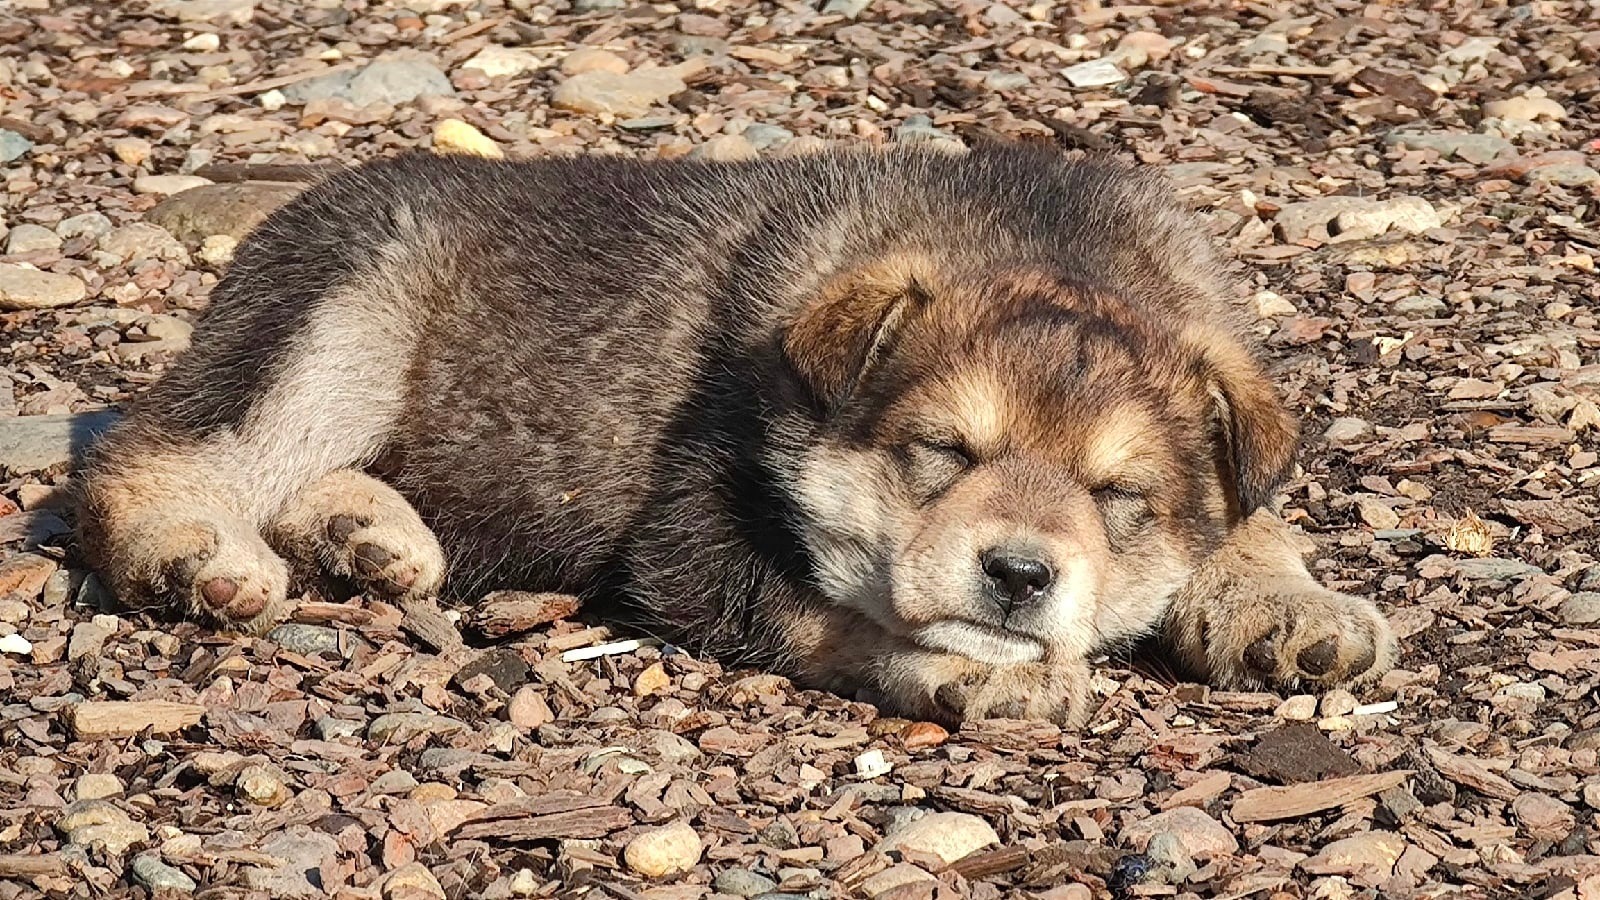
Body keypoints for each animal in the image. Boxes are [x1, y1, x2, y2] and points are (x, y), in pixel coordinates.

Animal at [78, 143, 1401, 723]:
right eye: (941, 452)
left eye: (1120, 499)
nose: (1020, 576)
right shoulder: (691, 535)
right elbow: (833, 613)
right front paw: (968, 666)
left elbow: (1253, 513)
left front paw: (1286, 602)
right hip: (341, 322)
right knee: (158, 449)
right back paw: (193, 553)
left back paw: (364, 536)